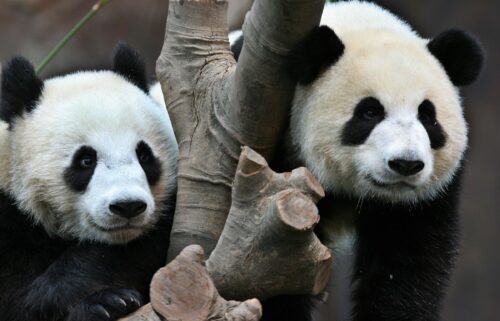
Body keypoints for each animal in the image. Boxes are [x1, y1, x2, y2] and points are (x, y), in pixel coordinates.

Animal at [0, 43, 179, 320]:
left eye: (144, 155)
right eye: (85, 160)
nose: (128, 206)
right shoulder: (10, 222)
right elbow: (18, 304)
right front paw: (106, 302)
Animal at [231, 2, 484, 320]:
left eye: (427, 116)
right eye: (370, 112)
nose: (406, 164)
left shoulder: (423, 200)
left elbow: (405, 267)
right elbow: (277, 269)